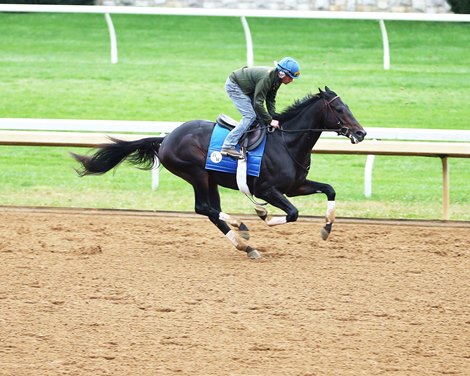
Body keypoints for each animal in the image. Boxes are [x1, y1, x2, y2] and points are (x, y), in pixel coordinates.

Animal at [72, 87, 368, 258]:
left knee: (211, 212)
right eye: (339, 109)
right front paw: (264, 215)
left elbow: (330, 189)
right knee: (204, 208)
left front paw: (327, 228)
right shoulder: (267, 190)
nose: (361, 132)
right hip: (196, 174)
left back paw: (245, 246)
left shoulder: (296, 186)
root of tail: (166, 139)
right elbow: (293, 213)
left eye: (348, 106)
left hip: (210, 178)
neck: (287, 142)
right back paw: (243, 229)